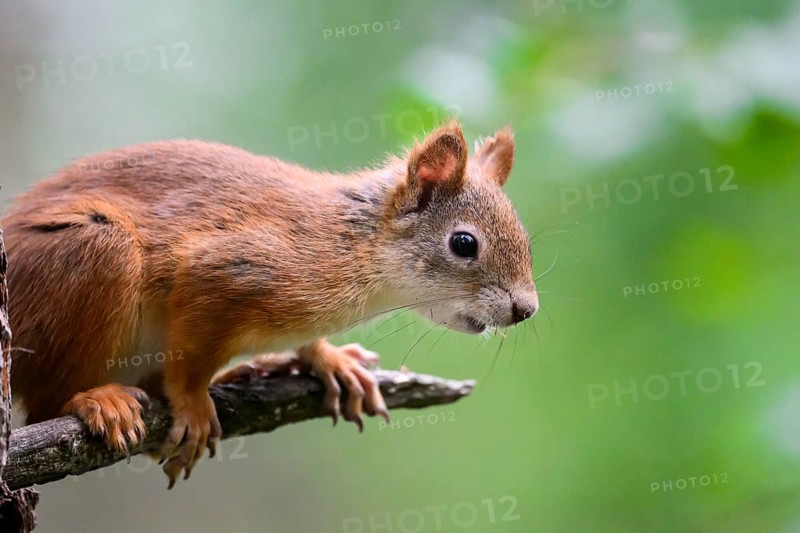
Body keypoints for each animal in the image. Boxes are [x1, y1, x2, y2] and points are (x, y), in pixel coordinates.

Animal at [2, 120, 538, 488]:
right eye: (464, 244)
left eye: (527, 240)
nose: (526, 309)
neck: (354, 244)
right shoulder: (225, 269)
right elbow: (190, 362)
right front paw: (193, 402)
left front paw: (330, 360)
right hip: (95, 251)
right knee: (47, 403)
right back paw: (97, 399)